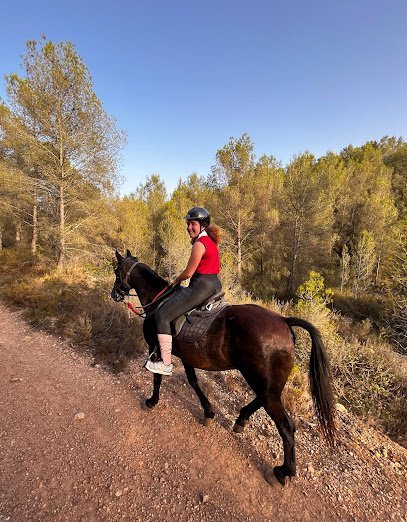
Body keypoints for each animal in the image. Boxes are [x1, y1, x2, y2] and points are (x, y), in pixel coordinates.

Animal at [110, 250, 336, 486]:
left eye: (116, 269)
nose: (114, 293)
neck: (159, 300)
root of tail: (284, 320)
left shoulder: (155, 346)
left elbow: (157, 377)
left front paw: (151, 402)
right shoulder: (187, 355)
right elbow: (193, 381)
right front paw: (208, 412)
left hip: (260, 381)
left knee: (286, 426)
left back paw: (283, 472)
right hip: (267, 382)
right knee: (263, 399)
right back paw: (241, 419)